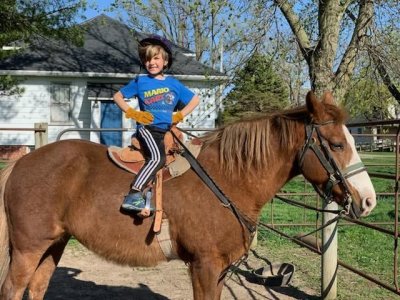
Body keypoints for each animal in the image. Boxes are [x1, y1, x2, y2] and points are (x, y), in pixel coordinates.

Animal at [0, 91, 376, 300]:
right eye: (337, 144)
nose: (369, 200)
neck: (228, 178)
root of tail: (21, 162)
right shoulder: (204, 265)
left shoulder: (220, 269)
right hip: (28, 248)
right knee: (13, 290)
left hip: (54, 244)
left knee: (36, 288)